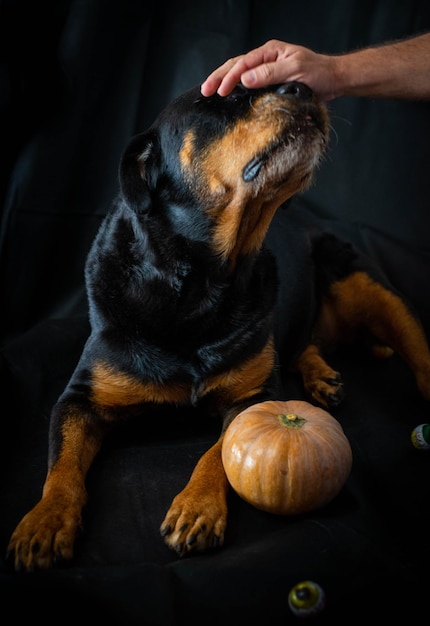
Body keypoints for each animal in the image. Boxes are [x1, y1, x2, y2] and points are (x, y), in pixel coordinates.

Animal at [5, 80, 430, 568]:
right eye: (220, 98)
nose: (302, 84)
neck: (198, 284)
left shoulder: (256, 396)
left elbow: (219, 452)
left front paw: (197, 507)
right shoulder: (79, 401)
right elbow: (61, 467)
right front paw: (45, 520)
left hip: (370, 288)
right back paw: (321, 375)